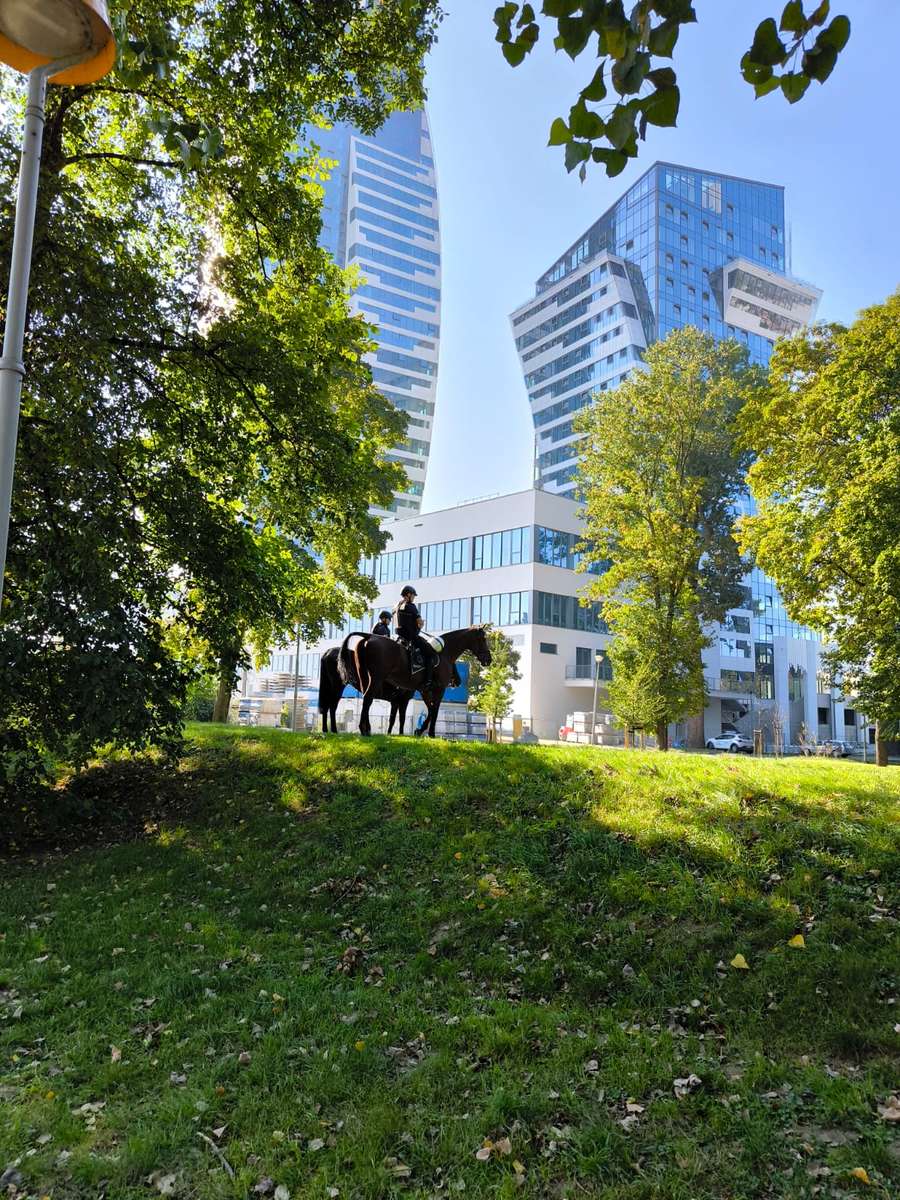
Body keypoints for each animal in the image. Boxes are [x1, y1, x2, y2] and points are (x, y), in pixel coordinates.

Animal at [340, 624, 494, 734]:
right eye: (483, 639)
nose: (488, 660)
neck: (444, 653)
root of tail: (368, 638)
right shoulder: (438, 690)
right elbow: (434, 710)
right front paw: (430, 733)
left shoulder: (424, 691)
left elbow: (429, 710)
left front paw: (419, 730)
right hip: (376, 678)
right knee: (368, 698)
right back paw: (364, 729)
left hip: (365, 678)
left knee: (367, 699)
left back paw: (365, 728)